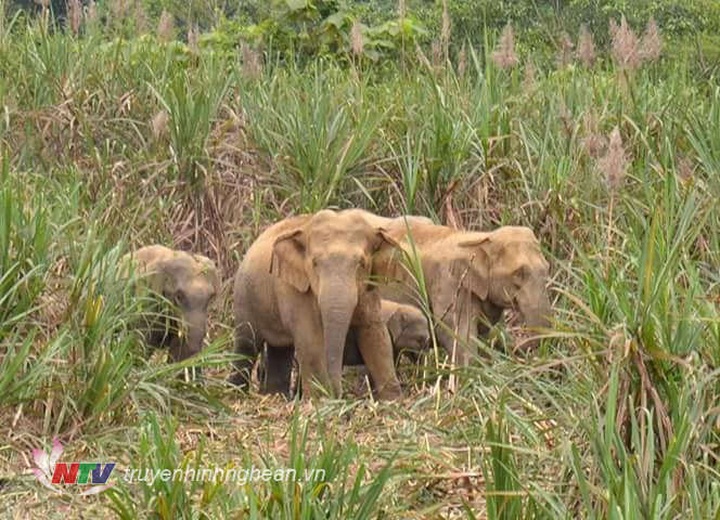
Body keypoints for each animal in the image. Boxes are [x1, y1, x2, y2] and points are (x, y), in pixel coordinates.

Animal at [228, 209, 403, 400]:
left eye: (362, 263)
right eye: (314, 263)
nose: (338, 394)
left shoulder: (369, 288)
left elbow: (374, 333)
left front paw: (392, 400)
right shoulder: (295, 289)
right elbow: (310, 338)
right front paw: (321, 400)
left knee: (280, 349)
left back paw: (276, 396)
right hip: (244, 297)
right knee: (246, 344)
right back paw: (234, 393)